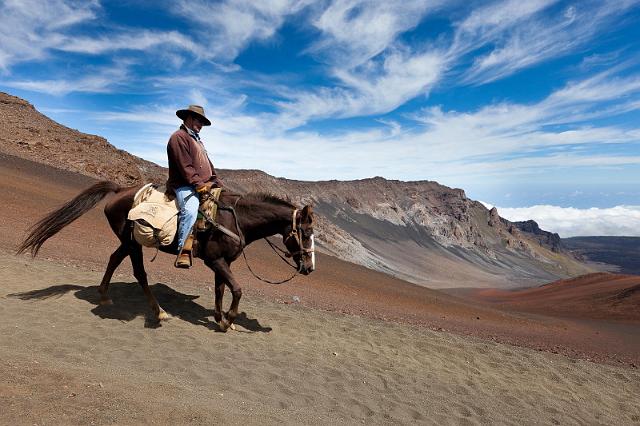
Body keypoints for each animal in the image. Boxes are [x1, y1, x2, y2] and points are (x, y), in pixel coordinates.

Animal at [15, 181, 316, 332]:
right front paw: (229, 321)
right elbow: (238, 290)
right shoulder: (216, 261)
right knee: (139, 273)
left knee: (113, 259)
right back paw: (159, 312)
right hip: (133, 243)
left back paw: (104, 295)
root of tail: (119, 191)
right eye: (304, 232)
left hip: (127, 242)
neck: (235, 219)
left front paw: (219, 318)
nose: (310, 268)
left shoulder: (223, 262)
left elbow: (221, 290)